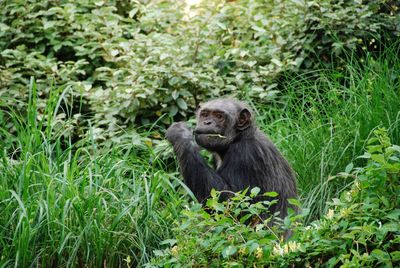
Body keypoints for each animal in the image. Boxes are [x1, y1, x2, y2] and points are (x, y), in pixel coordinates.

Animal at [165, 98, 296, 222]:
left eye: (219, 116)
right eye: (205, 114)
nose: (207, 122)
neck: (238, 137)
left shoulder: (245, 154)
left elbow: (233, 204)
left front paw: (180, 133)